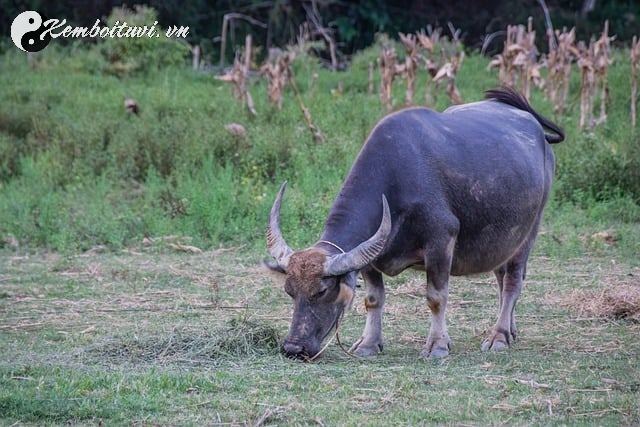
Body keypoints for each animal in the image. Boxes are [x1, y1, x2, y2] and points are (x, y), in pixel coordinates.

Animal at [264, 87, 564, 362]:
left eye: (322, 291)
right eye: (289, 291)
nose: (293, 348)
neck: (396, 181)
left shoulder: (441, 242)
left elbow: (436, 297)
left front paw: (437, 345)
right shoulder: (371, 256)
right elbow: (373, 298)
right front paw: (368, 344)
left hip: (529, 231)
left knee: (513, 281)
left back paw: (499, 336)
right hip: (503, 240)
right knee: (503, 278)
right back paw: (510, 331)